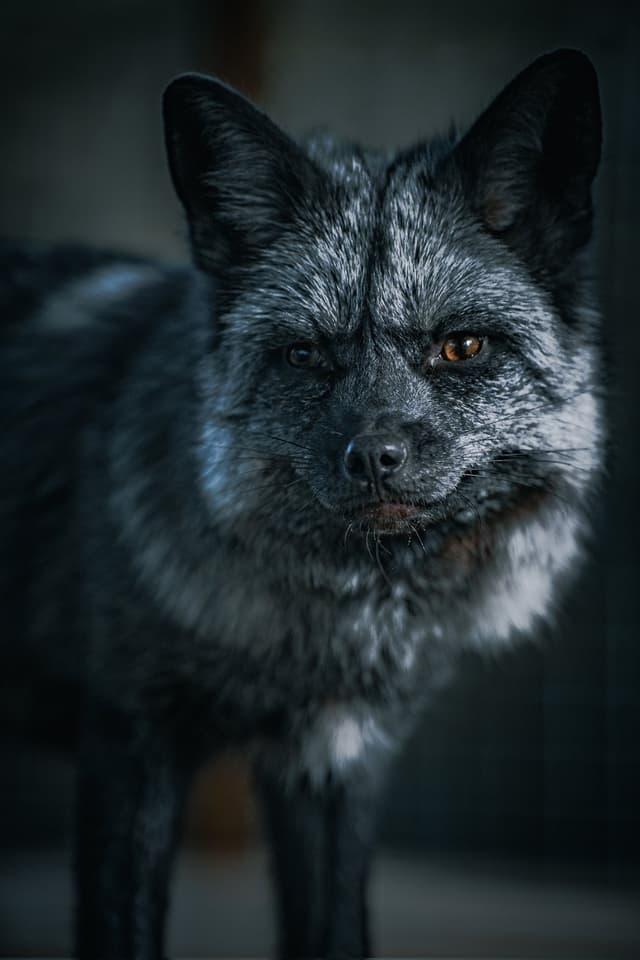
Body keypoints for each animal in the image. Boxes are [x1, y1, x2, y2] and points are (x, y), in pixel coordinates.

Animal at [0, 48, 603, 959]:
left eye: (460, 347)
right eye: (305, 355)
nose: (375, 459)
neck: (328, 630)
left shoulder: (336, 757)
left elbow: (336, 927)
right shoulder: (127, 734)